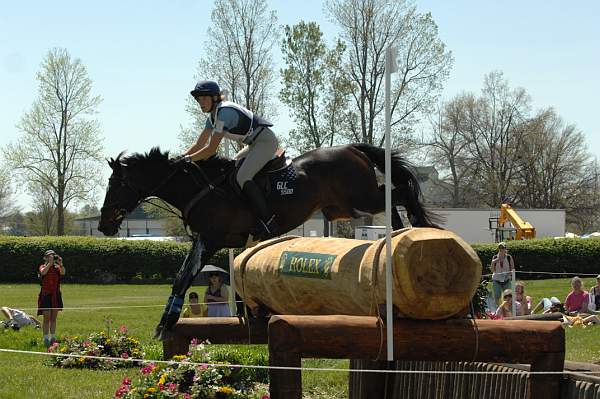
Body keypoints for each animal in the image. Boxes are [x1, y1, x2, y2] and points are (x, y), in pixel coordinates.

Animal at [96, 144, 438, 338]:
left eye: (116, 185)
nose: (103, 224)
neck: (198, 189)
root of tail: (353, 149)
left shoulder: (212, 239)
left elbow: (186, 276)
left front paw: (166, 323)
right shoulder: (206, 241)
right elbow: (182, 276)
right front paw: (166, 321)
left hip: (358, 198)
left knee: (399, 192)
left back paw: (417, 227)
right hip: (343, 206)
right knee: (391, 197)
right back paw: (398, 234)